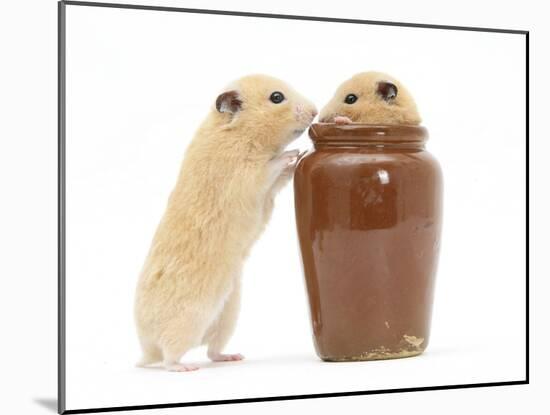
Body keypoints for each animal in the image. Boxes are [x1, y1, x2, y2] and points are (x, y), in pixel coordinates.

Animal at [134, 75, 320, 374]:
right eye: (277, 97)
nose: (315, 111)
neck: (240, 133)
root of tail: (145, 348)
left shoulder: (269, 188)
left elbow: (282, 175)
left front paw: (300, 154)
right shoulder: (248, 176)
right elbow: (271, 165)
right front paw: (293, 152)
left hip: (227, 316)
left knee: (211, 351)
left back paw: (233, 357)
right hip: (187, 320)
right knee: (169, 354)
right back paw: (185, 368)